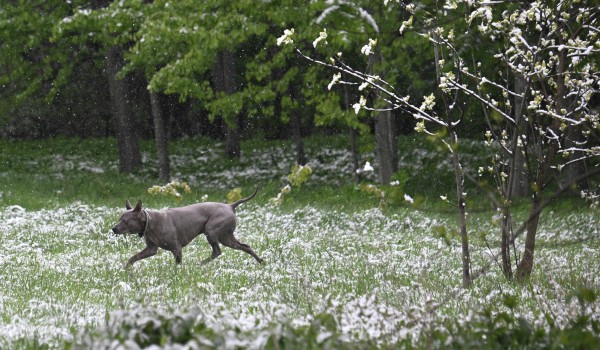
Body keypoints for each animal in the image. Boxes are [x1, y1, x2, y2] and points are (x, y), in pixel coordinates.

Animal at [112, 189, 262, 268]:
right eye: (119, 219)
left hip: (212, 231)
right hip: (226, 237)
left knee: (217, 251)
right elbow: (133, 257)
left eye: (125, 221)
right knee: (245, 246)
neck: (151, 222)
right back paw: (261, 262)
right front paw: (126, 269)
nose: (113, 228)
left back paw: (200, 264)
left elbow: (177, 264)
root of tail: (230, 206)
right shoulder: (151, 249)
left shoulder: (176, 249)